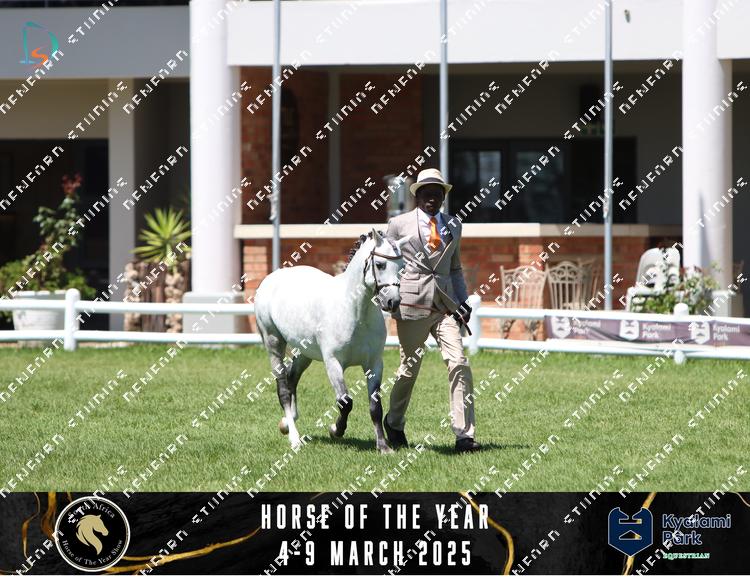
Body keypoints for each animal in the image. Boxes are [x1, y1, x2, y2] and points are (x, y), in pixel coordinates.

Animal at [254, 228, 408, 453]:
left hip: (304, 353)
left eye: (402, 267)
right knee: (283, 389)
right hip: (274, 344)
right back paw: (294, 438)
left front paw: (383, 447)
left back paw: (287, 422)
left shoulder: (374, 364)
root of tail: (272, 278)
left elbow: (375, 406)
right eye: (380, 265)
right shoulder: (333, 363)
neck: (355, 312)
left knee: (292, 379)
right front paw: (336, 430)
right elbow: (345, 402)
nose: (393, 302)